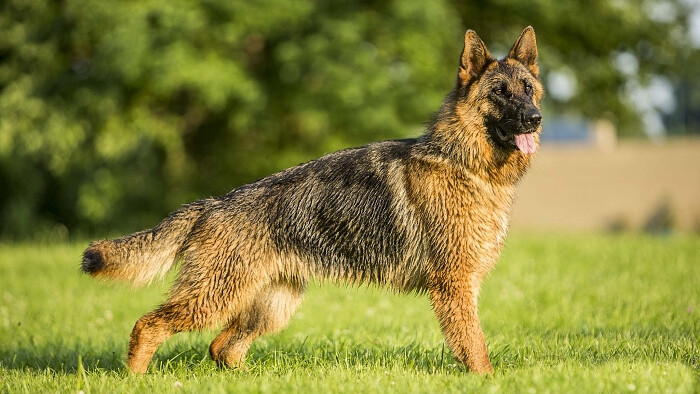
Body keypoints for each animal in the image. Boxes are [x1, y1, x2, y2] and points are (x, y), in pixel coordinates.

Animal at [80, 26, 540, 372]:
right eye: (499, 92)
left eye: (529, 89)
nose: (535, 119)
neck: (463, 160)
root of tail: (211, 204)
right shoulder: (455, 285)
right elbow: (475, 345)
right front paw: (487, 380)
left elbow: (473, 341)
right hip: (212, 299)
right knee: (149, 326)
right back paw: (134, 379)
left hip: (271, 306)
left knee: (223, 347)